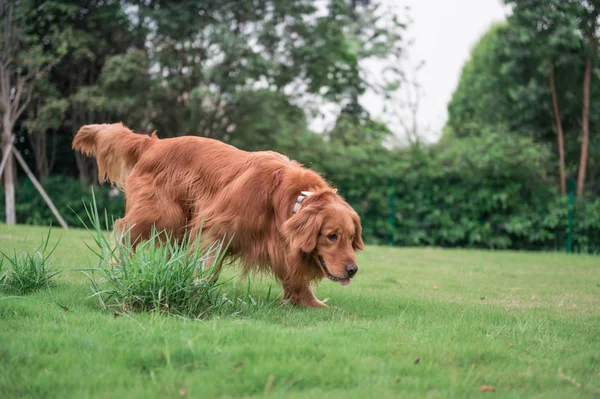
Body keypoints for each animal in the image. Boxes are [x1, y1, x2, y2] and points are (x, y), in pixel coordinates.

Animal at [70, 123, 360, 308]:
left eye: (350, 237)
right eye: (331, 236)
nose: (353, 270)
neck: (287, 199)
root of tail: (152, 143)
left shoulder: (280, 243)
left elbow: (295, 277)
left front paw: (311, 303)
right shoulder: (214, 227)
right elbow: (207, 265)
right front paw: (197, 293)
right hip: (162, 213)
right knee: (123, 231)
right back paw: (121, 266)